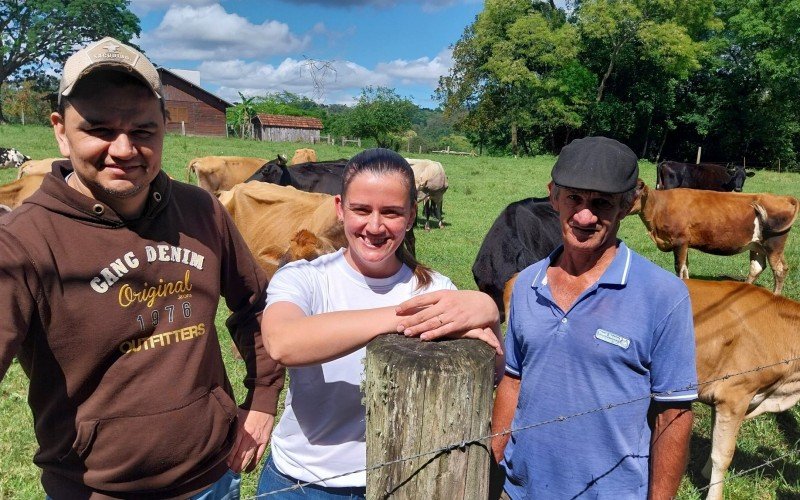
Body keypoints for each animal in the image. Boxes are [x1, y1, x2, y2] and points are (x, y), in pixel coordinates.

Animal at [636, 182, 796, 294]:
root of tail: (783, 198)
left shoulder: (680, 240)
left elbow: (679, 268)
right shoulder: (684, 243)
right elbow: (686, 267)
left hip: (773, 244)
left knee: (779, 269)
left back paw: (775, 295)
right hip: (759, 246)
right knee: (758, 267)